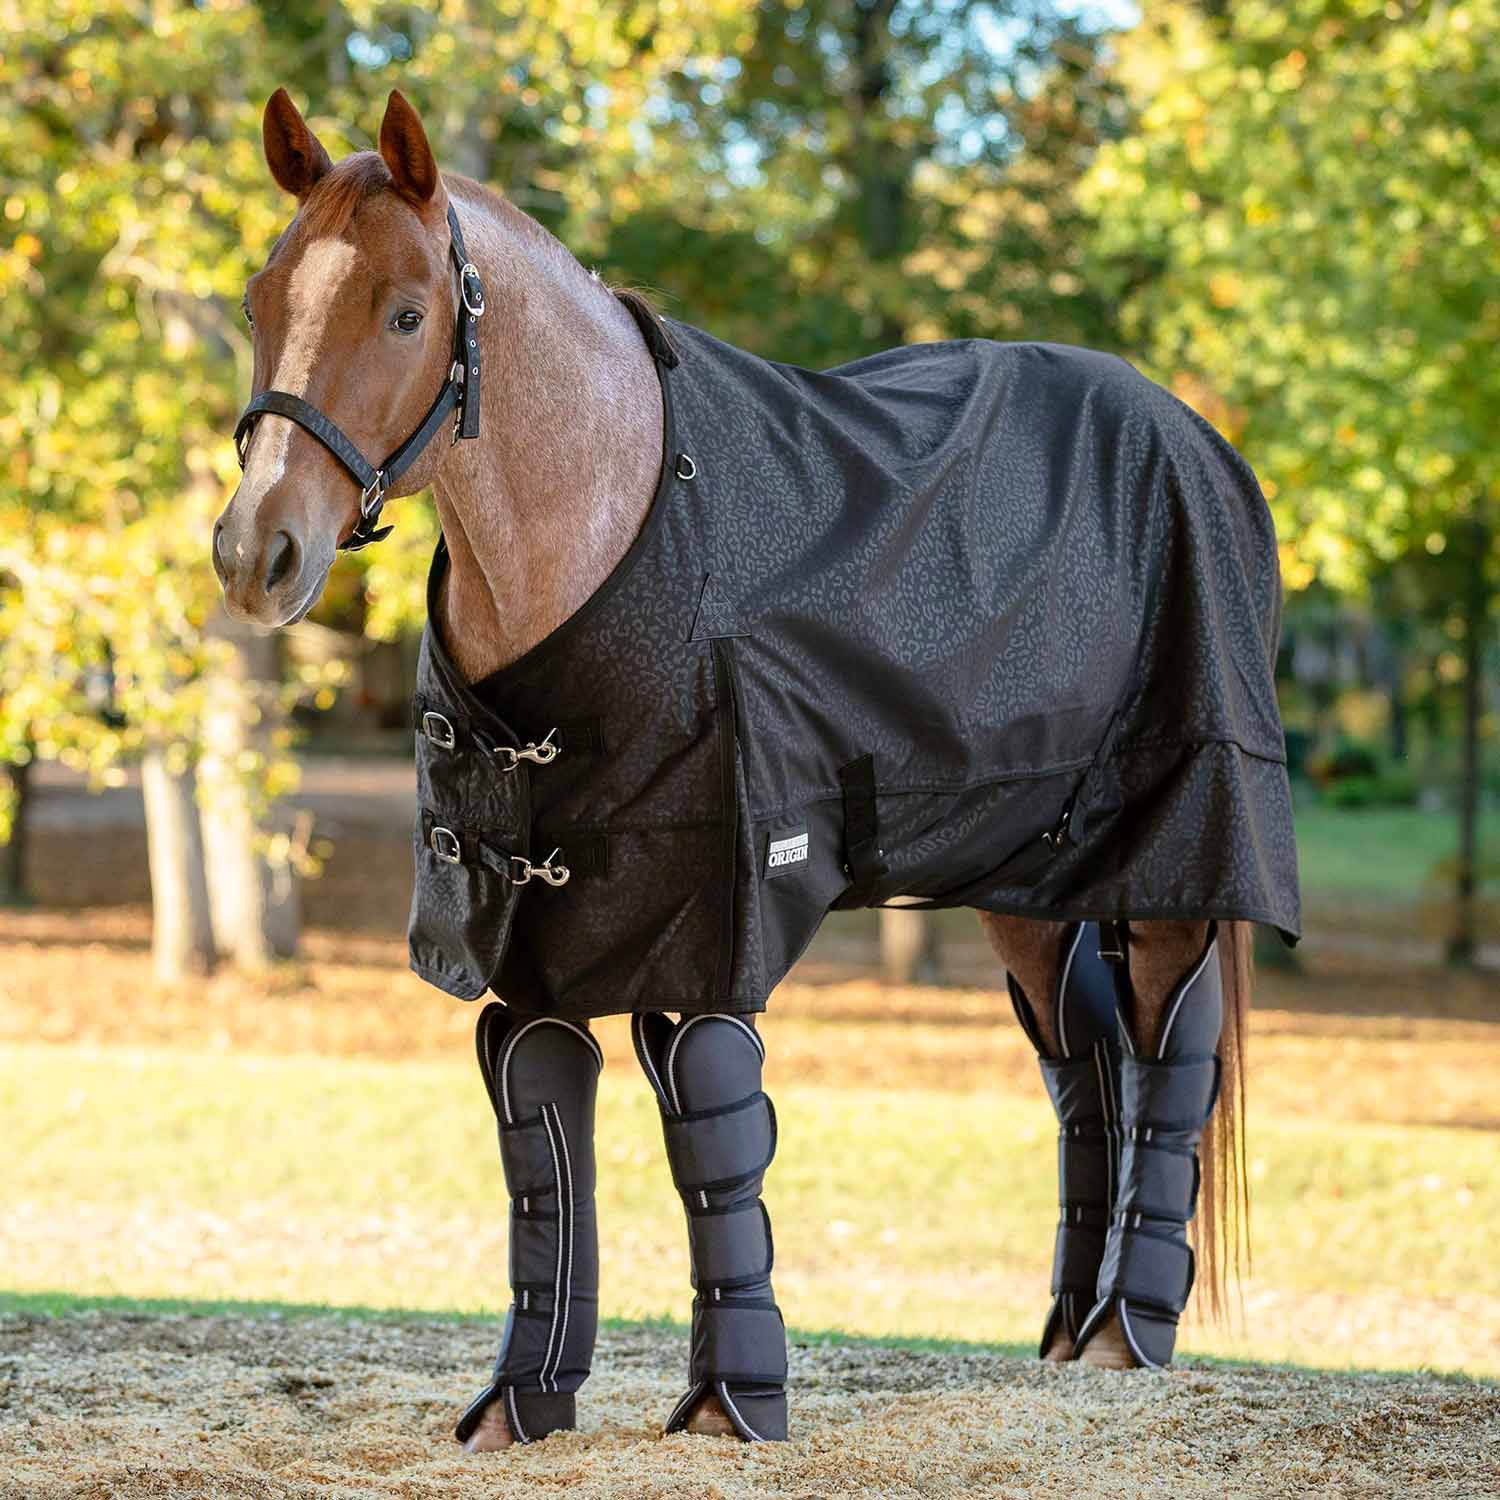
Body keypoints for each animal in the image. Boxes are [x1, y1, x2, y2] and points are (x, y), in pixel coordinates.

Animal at [213, 87, 1297, 1448]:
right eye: (260, 300)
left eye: (407, 312)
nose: (256, 552)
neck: (617, 523)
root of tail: (1197, 438)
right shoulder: (535, 913)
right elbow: (539, 1121)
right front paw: (522, 1403)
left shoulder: (713, 906)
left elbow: (710, 1128)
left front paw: (736, 1403)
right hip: (1021, 868)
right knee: (1078, 1045)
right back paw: (1059, 1338)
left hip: (1181, 834)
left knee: (1169, 1031)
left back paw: (1126, 1334)